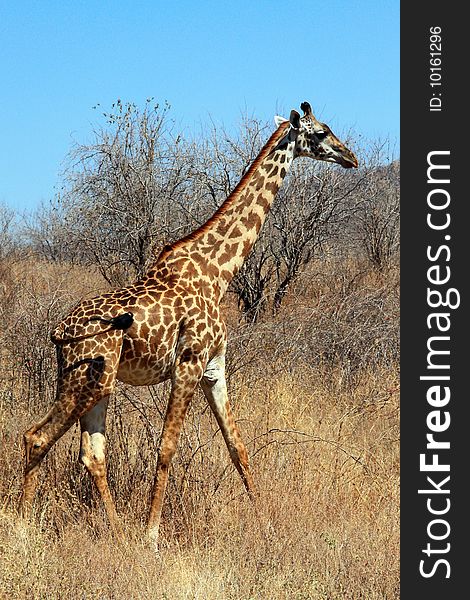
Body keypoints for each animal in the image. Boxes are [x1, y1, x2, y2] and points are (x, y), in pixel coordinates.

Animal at [17, 101, 356, 540]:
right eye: (320, 133)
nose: (350, 157)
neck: (218, 272)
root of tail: (58, 332)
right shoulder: (188, 364)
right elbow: (166, 448)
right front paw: (151, 535)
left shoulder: (214, 369)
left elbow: (237, 446)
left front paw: (264, 522)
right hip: (84, 380)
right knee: (36, 437)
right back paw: (23, 528)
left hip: (99, 384)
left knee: (92, 454)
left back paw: (116, 531)